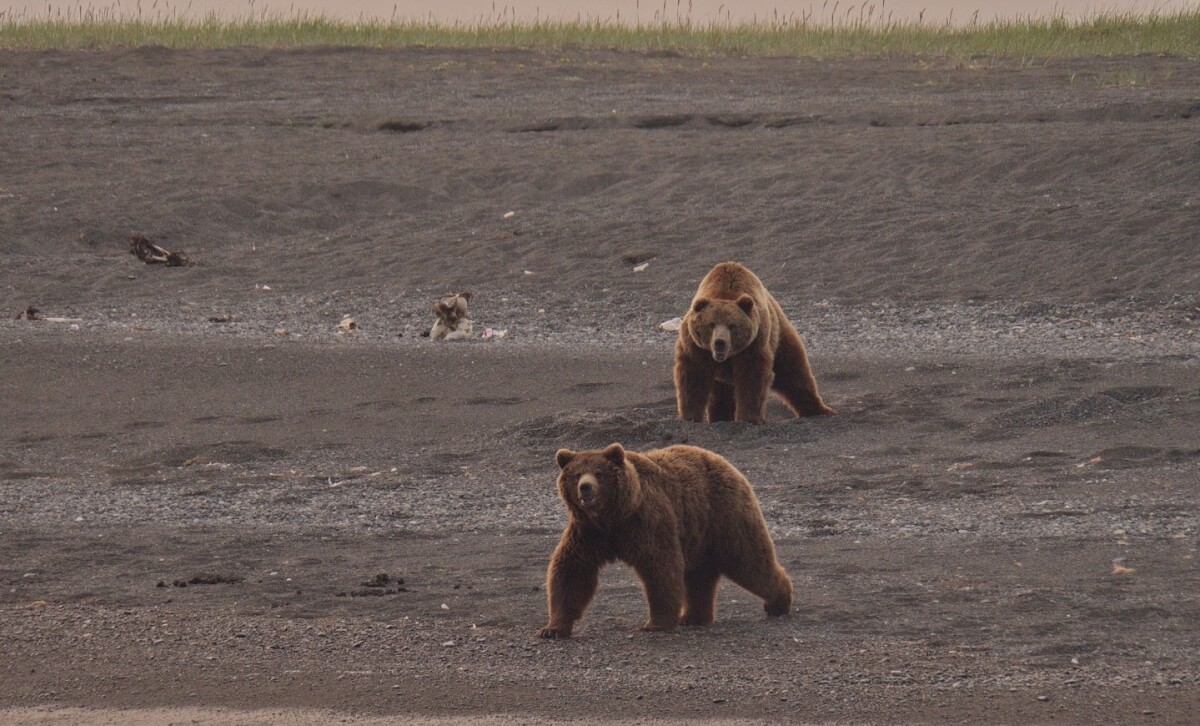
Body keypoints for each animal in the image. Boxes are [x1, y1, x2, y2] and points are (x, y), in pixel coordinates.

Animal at [540, 439, 792, 638]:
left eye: (599, 473)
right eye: (576, 475)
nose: (586, 488)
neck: (613, 516)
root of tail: (723, 461)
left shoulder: (644, 521)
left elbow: (660, 566)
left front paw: (655, 623)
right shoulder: (589, 533)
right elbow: (571, 570)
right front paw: (552, 629)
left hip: (725, 516)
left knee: (750, 562)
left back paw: (778, 603)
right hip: (698, 535)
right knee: (699, 576)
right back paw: (693, 617)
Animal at [676, 260, 835, 422]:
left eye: (732, 325)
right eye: (711, 324)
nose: (720, 342)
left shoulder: (754, 344)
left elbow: (752, 377)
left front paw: (749, 417)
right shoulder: (695, 347)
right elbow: (694, 377)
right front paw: (690, 416)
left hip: (779, 337)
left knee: (794, 372)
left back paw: (819, 410)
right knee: (721, 394)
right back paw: (720, 417)